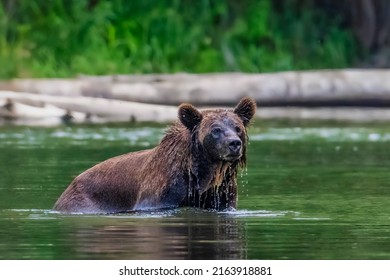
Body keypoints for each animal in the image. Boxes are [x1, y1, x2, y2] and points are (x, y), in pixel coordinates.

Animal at [53, 97, 258, 213]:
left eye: (237, 128)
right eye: (216, 130)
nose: (234, 143)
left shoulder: (221, 193)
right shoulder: (161, 192)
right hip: (83, 200)